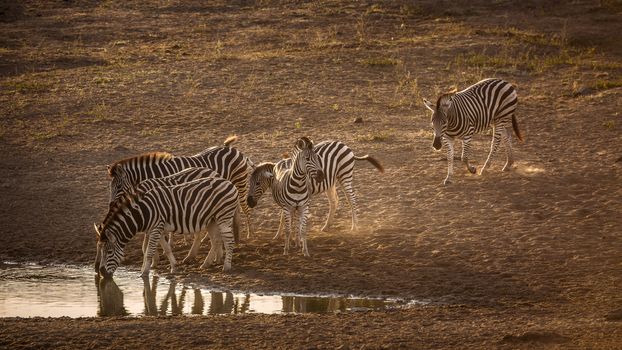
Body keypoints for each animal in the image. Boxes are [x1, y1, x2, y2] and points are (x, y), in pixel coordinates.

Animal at [96, 178, 240, 278]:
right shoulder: (157, 229)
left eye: (109, 252)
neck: (143, 213)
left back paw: (226, 266)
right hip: (212, 220)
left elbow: (149, 252)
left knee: (229, 241)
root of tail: (229, 183)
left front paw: (144, 272)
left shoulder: (156, 228)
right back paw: (206, 264)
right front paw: (174, 267)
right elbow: (166, 248)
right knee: (216, 240)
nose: (102, 274)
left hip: (224, 216)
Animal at [106, 136, 255, 238]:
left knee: (245, 208)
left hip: (240, 182)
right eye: (111, 186)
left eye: (118, 186)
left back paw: (249, 234)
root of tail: (231, 148)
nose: (111, 205)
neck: (157, 173)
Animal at [249, 141, 386, 237]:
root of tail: (345, 145)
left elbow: (286, 216)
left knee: (351, 199)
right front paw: (281, 235)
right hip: (330, 182)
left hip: (345, 175)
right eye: (249, 182)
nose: (249, 203)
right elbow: (285, 216)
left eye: (257, 183)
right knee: (334, 201)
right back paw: (326, 226)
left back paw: (354, 226)